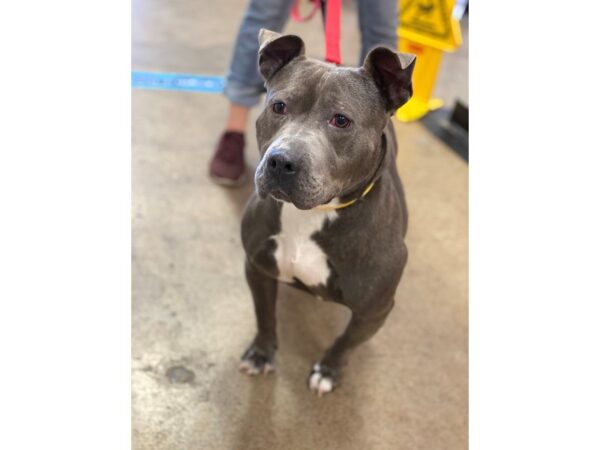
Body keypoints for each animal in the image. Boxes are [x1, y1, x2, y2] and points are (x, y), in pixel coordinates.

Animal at [237, 28, 414, 396]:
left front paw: (328, 371)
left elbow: (345, 343)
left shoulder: (374, 310)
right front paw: (261, 354)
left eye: (341, 120)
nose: (280, 162)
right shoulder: (257, 268)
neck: (313, 214)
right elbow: (265, 317)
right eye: (278, 106)